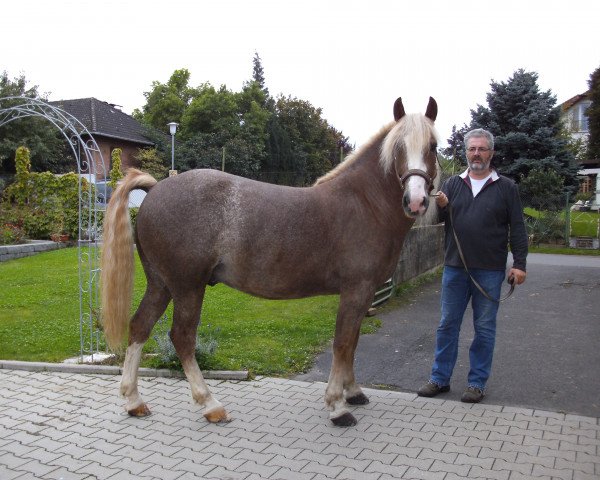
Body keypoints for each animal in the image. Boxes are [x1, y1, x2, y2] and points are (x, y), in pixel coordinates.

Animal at [101, 95, 440, 426]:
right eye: (398, 148)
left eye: (433, 147)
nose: (416, 201)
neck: (364, 203)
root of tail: (156, 188)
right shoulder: (356, 291)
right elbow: (342, 344)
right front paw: (337, 406)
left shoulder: (363, 294)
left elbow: (353, 342)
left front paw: (353, 392)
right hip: (187, 287)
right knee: (182, 338)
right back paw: (211, 405)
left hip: (161, 284)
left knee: (140, 327)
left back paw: (134, 401)